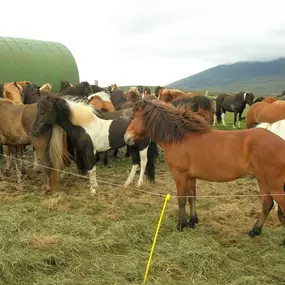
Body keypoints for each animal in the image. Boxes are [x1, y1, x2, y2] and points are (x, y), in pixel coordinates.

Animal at [123, 99, 284, 244]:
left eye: (133, 117)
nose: (126, 139)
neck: (180, 137)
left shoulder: (180, 175)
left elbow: (182, 200)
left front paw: (181, 225)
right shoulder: (191, 177)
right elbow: (192, 198)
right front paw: (192, 221)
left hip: (273, 184)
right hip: (262, 181)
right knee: (267, 205)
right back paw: (254, 231)